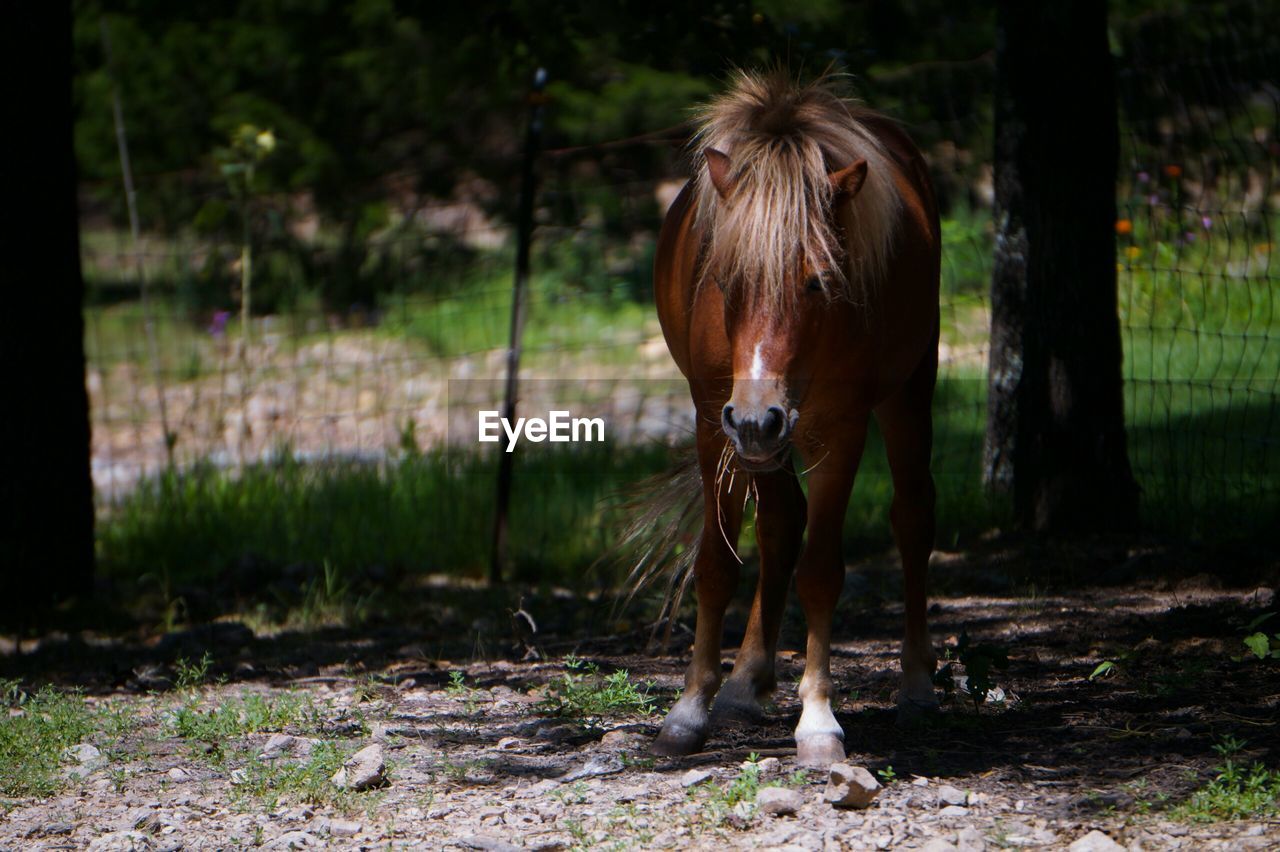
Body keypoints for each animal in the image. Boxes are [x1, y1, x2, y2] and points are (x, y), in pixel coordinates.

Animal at [650, 71, 942, 762]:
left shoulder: (840, 431)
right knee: (782, 523)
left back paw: (917, 685)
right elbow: (718, 563)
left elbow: (821, 573)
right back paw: (745, 681)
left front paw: (818, 720)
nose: (760, 416)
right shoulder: (714, 424)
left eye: (816, 282)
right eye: (725, 279)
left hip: (907, 391)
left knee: (913, 517)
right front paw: (690, 708)